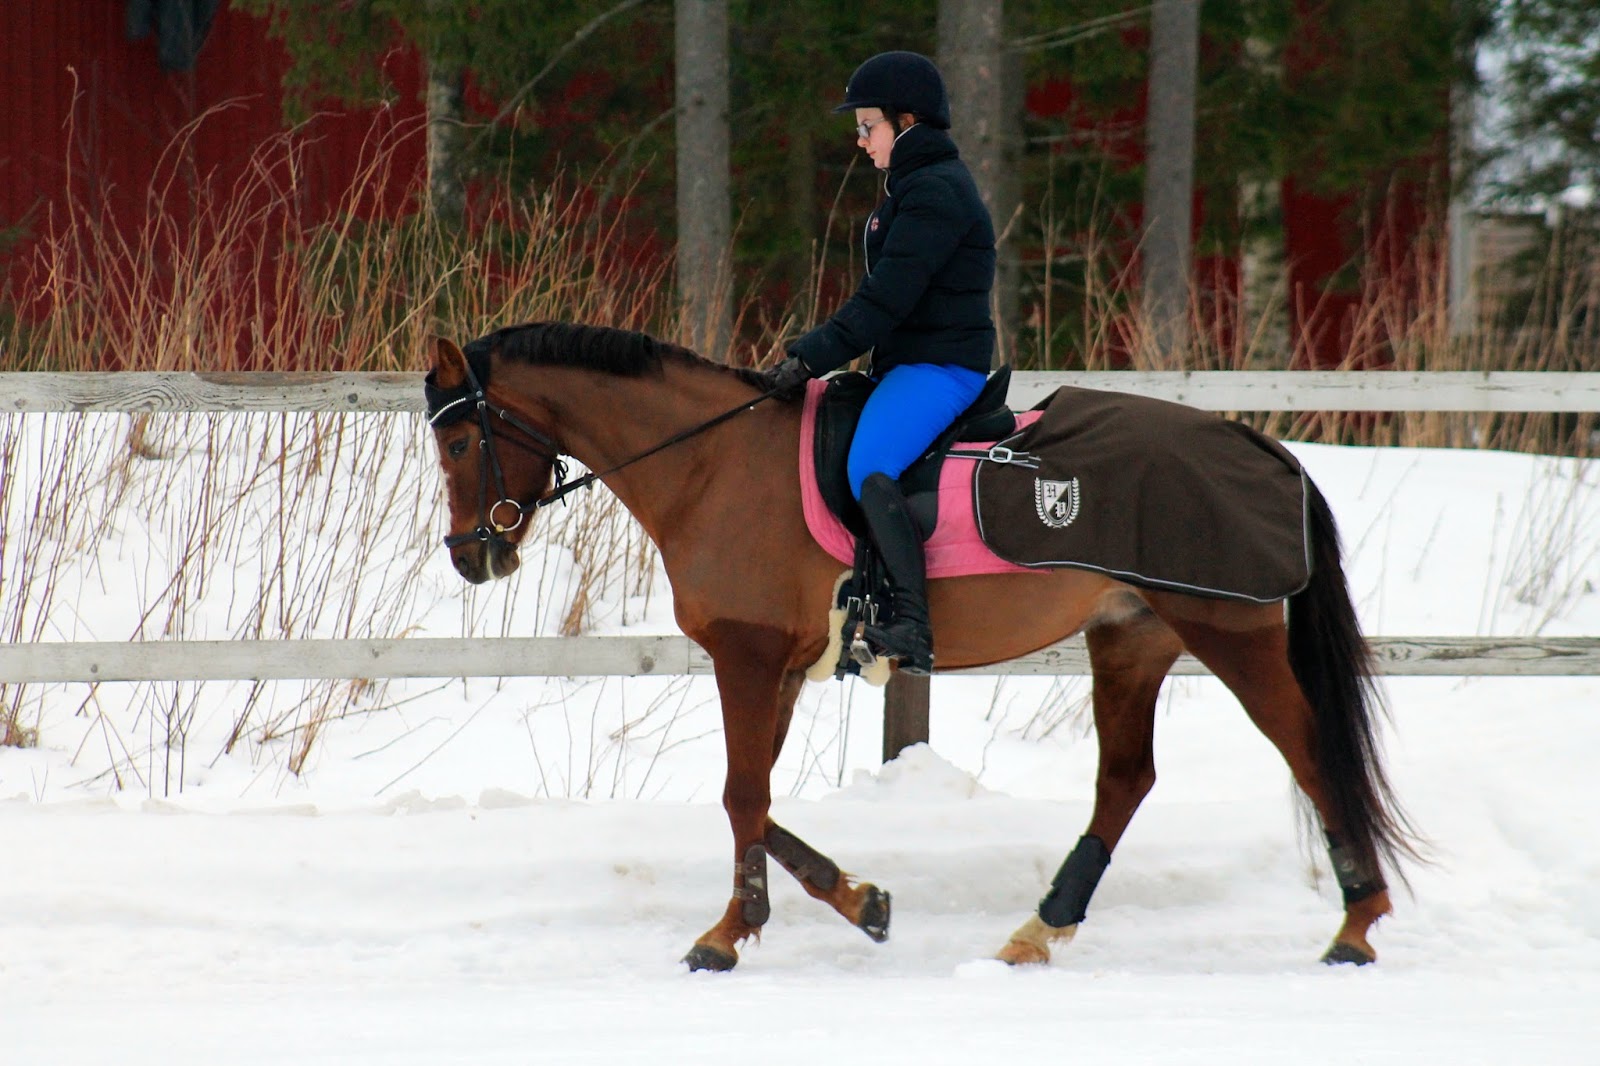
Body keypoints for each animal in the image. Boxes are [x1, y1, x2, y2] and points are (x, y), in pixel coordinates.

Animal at [423, 322, 1421, 972]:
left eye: (464, 439)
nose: (475, 556)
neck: (712, 465)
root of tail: (1260, 445)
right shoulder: (780, 667)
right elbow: (757, 799)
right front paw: (849, 903)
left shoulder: (747, 657)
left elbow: (742, 796)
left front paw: (730, 936)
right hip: (1130, 637)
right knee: (1125, 779)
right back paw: (1039, 929)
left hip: (1226, 629)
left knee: (1309, 751)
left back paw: (1356, 927)